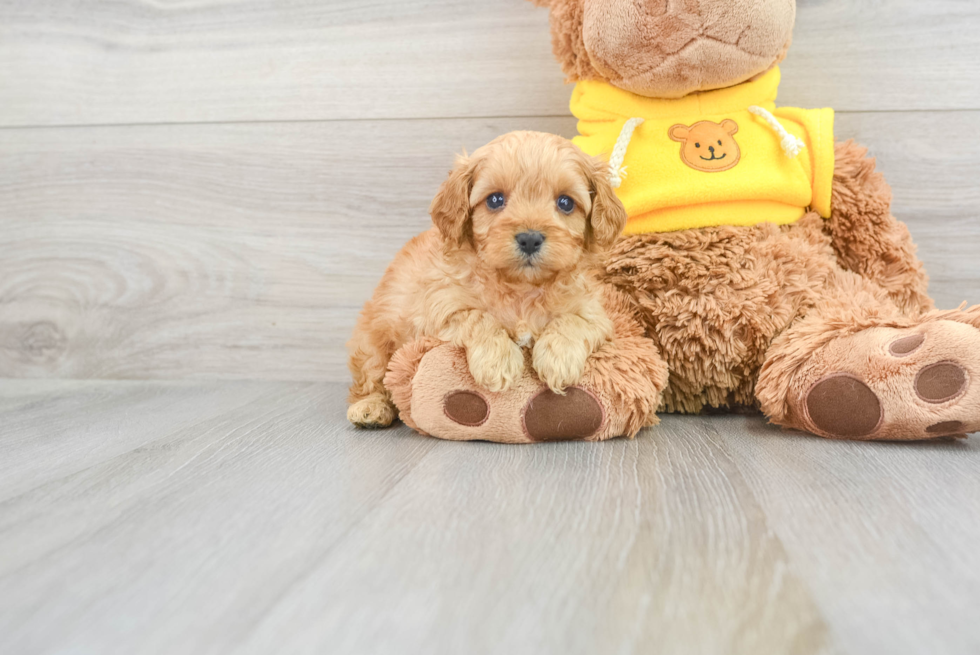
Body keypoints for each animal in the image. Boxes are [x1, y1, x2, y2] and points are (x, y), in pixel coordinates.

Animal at [348, 132, 628, 430]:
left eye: (565, 203)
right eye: (495, 200)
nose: (530, 238)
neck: (521, 287)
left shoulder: (593, 313)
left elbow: (572, 321)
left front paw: (558, 358)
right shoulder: (437, 309)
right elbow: (478, 316)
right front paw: (498, 361)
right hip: (374, 338)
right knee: (370, 377)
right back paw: (370, 408)